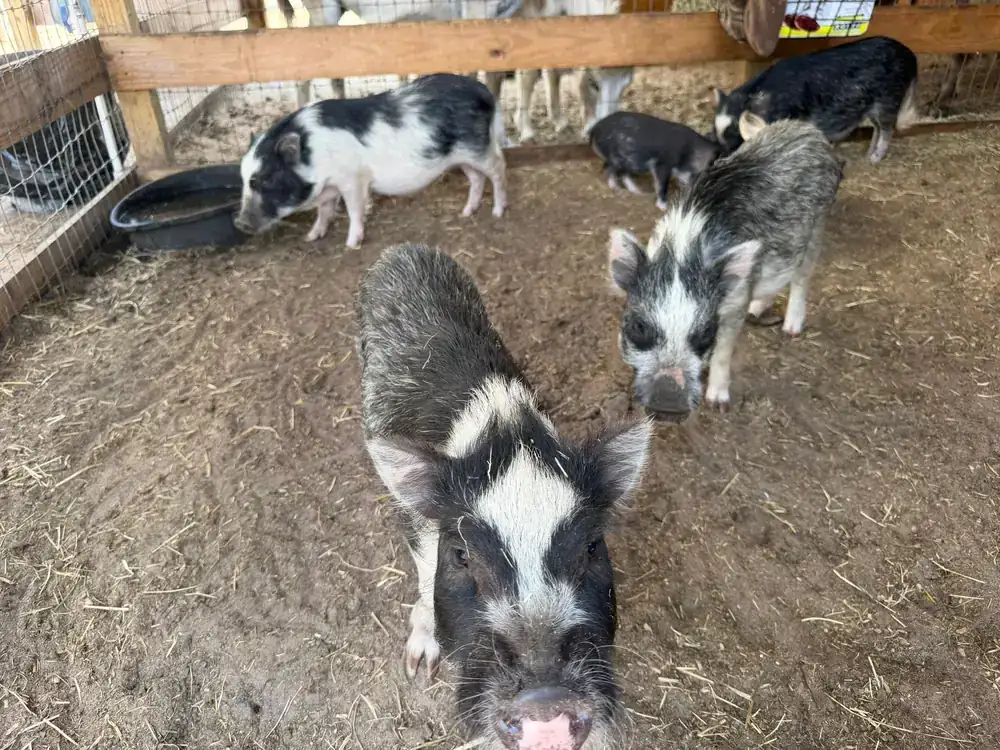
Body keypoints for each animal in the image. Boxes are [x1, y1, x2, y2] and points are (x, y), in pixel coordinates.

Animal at [235, 74, 507, 249]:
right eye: (245, 181)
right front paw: (312, 237)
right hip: (462, 157)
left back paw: (497, 212)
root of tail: (484, 92)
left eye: (264, 180)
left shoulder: (353, 179)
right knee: (476, 178)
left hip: (478, 147)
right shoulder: (330, 186)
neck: (315, 151)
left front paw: (351, 244)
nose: (239, 222)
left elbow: (354, 209)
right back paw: (466, 212)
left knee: (498, 168)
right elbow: (324, 210)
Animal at [357, 243, 653, 750]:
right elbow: (423, 573)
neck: (506, 429)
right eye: (461, 556)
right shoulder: (417, 524)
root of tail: (404, 249)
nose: (546, 704)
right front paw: (419, 667)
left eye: (592, 547)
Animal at [589, 111, 723, 211]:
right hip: (618, 158)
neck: (689, 151)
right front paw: (664, 207)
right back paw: (617, 189)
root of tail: (596, 127)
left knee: (619, 172)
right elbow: (662, 184)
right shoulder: (662, 163)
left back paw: (638, 192)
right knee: (611, 170)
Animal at [608, 112, 843, 419]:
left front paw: (718, 404)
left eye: (706, 333)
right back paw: (758, 312)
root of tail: (807, 129)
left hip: (818, 225)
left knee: (802, 276)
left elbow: (723, 351)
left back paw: (791, 329)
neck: (684, 249)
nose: (669, 400)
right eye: (637, 326)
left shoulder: (735, 302)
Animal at [713, 35, 919, 164]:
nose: (720, 157)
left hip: (889, 100)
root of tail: (910, 55)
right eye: (715, 130)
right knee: (877, 128)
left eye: (736, 132)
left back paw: (875, 159)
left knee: (887, 129)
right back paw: (868, 154)